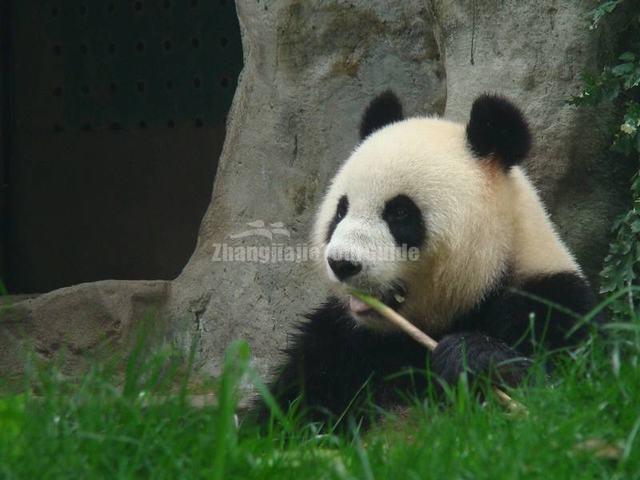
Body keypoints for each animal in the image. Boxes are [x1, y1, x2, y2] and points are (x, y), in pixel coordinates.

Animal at [262, 92, 596, 426]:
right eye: (341, 210)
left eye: (400, 212)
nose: (342, 263)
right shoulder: (337, 340)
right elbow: (288, 409)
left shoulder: (549, 299)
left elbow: (573, 387)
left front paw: (470, 358)